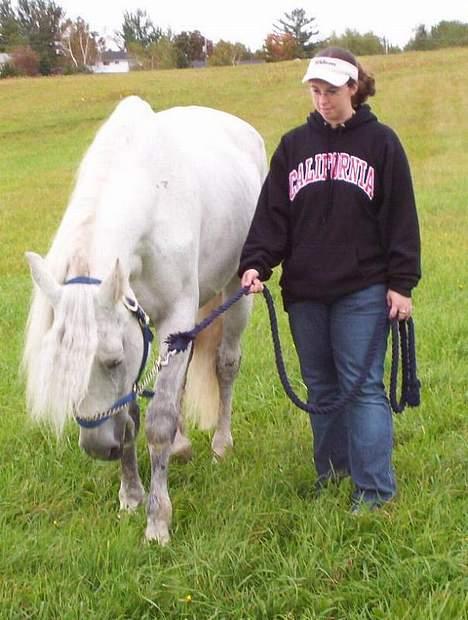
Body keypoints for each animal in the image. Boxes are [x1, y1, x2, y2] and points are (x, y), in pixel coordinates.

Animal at [22, 95, 266, 544]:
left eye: (113, 360)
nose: (98, 448)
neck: (153, 197)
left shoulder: (174, 319)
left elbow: (158, 422)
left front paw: (158, 521)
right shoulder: (142, 328)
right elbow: (132, 417)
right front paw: (131, 496)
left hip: (236, 291)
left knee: (225, 365)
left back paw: (221, 444)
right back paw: (183, 447)